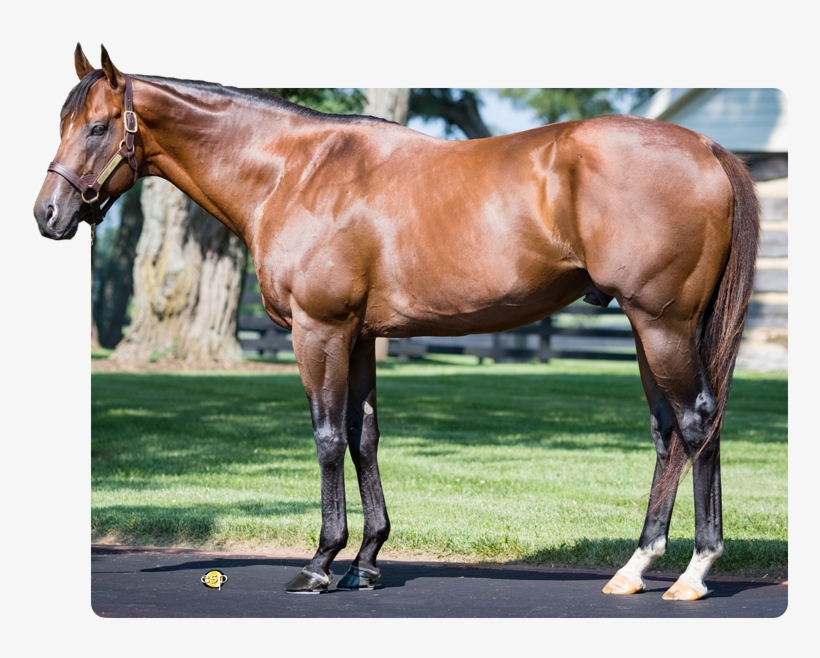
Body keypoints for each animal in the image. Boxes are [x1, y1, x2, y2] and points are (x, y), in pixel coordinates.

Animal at [34, 45, 759, 600]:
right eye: (66, 122)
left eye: (97, 127)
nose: (48, 214)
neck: (296, 172)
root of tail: (707, 147)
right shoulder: (358, 337)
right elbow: (365, 439)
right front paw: (366, 561)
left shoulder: (319, 330)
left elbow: (328, 438)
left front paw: (319, 563)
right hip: (649, 329)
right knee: (668, 433)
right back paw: (634, 568)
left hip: (662, 324)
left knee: (697, 421)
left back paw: (693, 573)